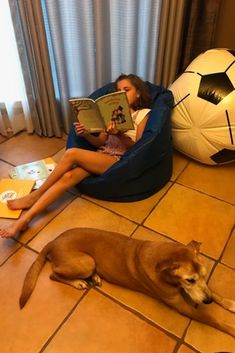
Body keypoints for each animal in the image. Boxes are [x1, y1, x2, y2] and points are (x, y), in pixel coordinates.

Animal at [20, 228, 235, 336]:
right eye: (189, 280)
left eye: (205, 275)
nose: (207, 301)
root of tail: (53, 241)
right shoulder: (181, 305)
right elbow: (212, 319)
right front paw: (231, 329)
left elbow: (214, 292)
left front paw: (229, 303)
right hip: (86, 261)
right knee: (53, 274)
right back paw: (78, 282)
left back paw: (94, 277)